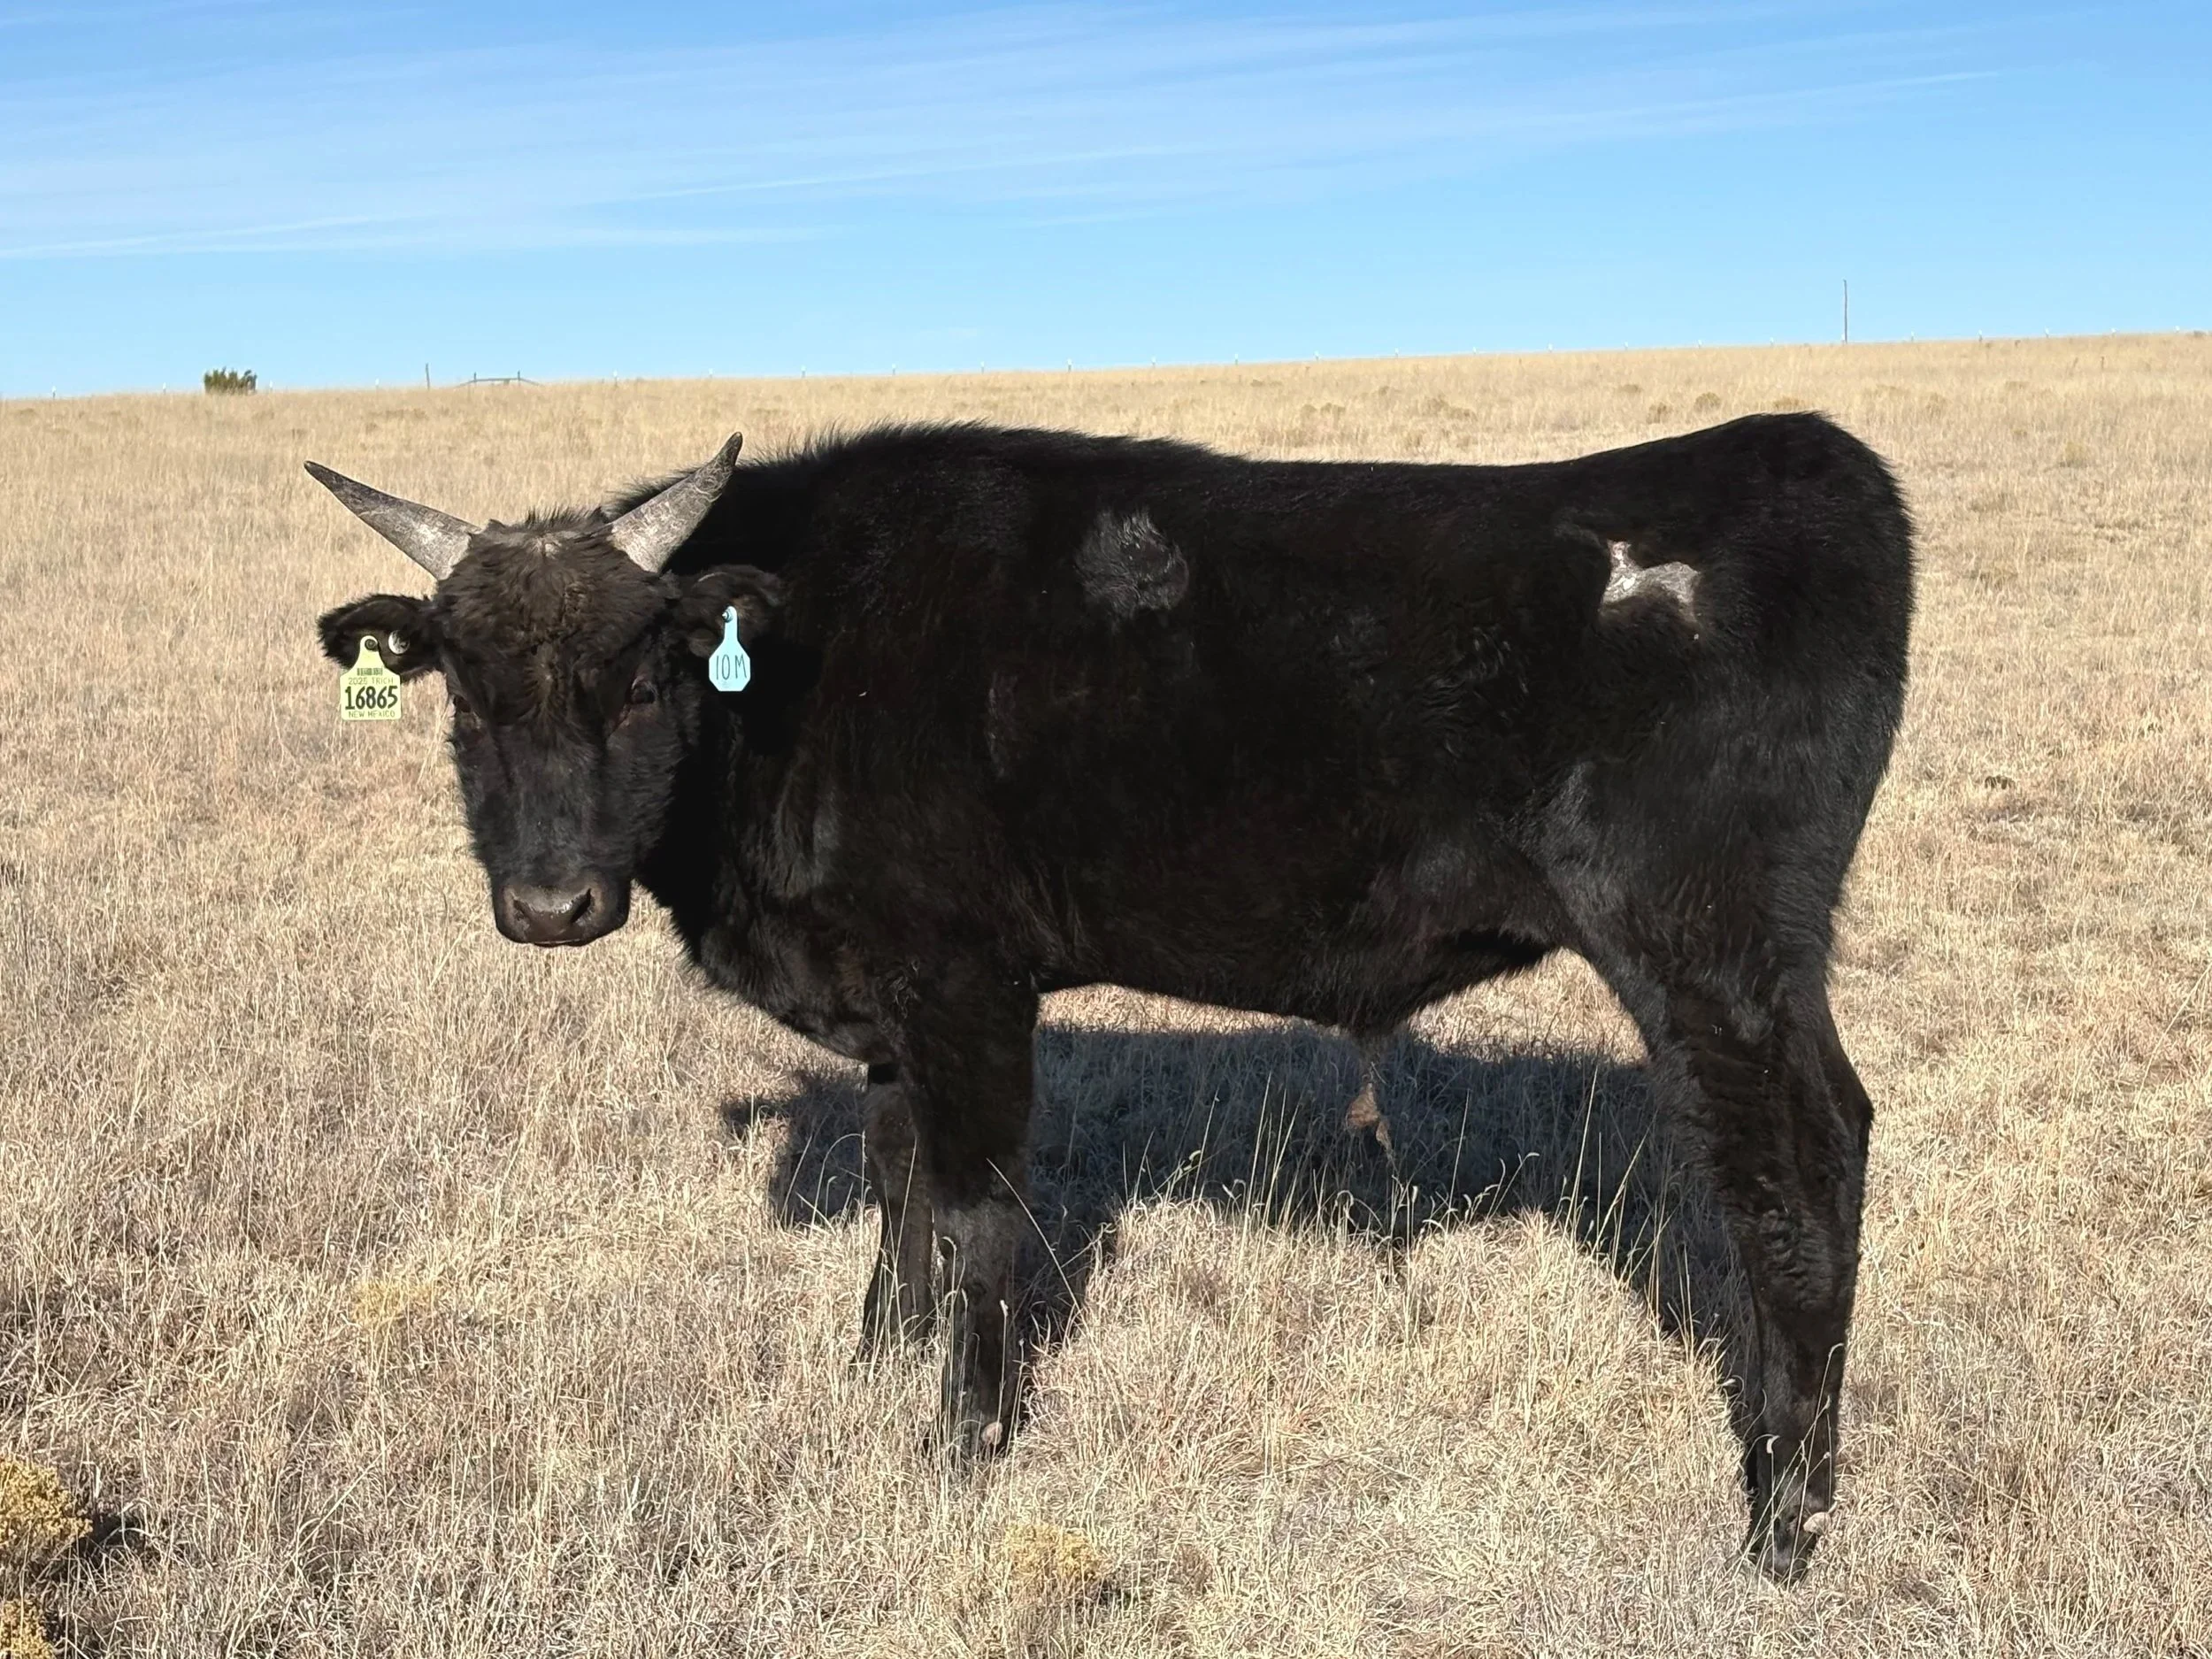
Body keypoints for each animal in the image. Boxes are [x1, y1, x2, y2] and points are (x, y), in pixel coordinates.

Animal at [309, 412, 1912, 1579]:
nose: (551, 906)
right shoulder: (893, 1005)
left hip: (1712, 960)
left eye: (646, 676)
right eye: (464, 693)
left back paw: (1785, 1523)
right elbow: (898, 1188)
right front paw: (876, 1367)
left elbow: (975, 1220)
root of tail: (1790, 450)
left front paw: (962, 1443)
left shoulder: (969, 988)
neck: (815, 657)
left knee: (1799, 1172)